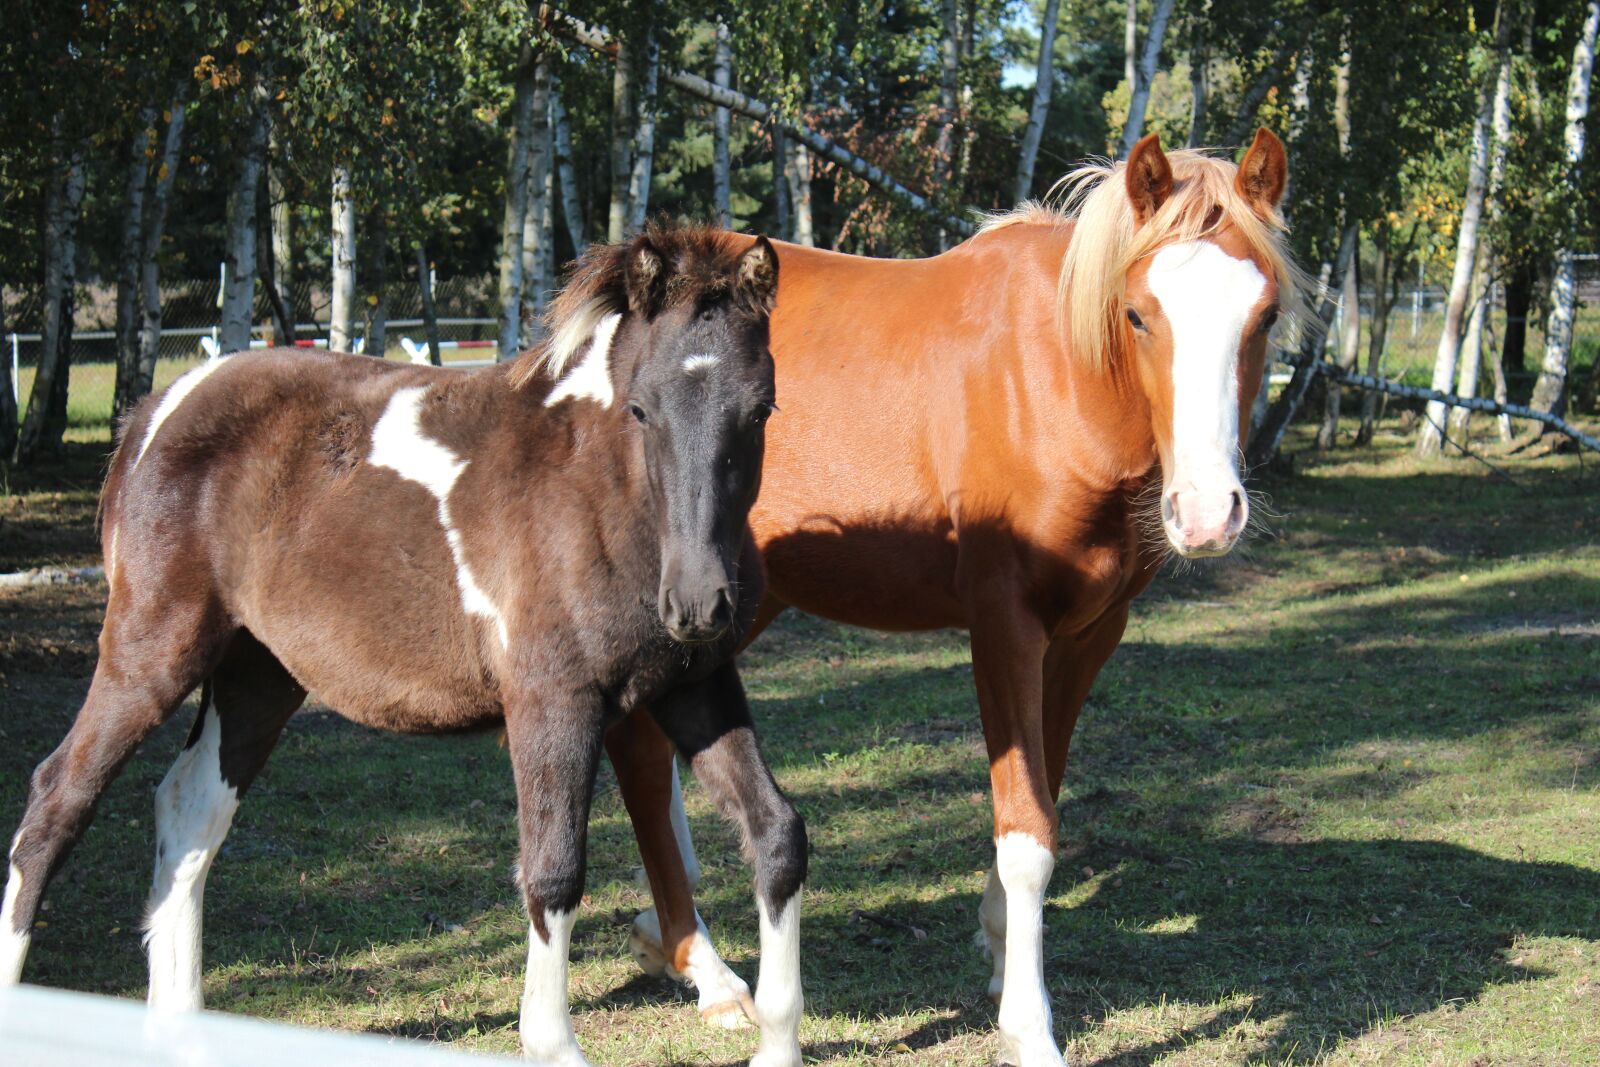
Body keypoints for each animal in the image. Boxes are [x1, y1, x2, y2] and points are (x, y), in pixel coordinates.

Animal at [0, 226, 808, 1067]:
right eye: (642, 408)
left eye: (760, 408)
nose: (698, 603)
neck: (601, 495)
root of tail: (158, 408)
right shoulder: (553, 699)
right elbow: (552, 868)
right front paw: (552, 1040)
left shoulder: (696, 686)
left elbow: (777, 832)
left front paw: (776, 1040)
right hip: (152, 650)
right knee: (56, 801)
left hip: (257, 673)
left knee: (189, 807)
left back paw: (182, 1028)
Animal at [609, 132, 1313, 1066]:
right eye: (1138, 315)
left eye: (1264, 317)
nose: (1206, 513)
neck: (1055, 379)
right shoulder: (1004, 626)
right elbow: (1027, 834)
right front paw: (1029, 1026)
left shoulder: (1088, 633)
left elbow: (1042, 797)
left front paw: (999, 944)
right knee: (640, 751)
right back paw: (710, 969)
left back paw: (681, 947)